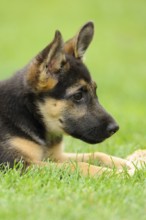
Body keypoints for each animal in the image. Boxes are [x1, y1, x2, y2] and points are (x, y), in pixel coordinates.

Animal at [0, 22, 133, 176]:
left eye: (95, 91)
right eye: (78, 96)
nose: (115, 128)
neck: (30, 113)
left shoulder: (56, 156)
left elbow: (95, 154)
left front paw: (123, 163)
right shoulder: (15, 164)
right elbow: (78, 165)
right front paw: (112, 173)